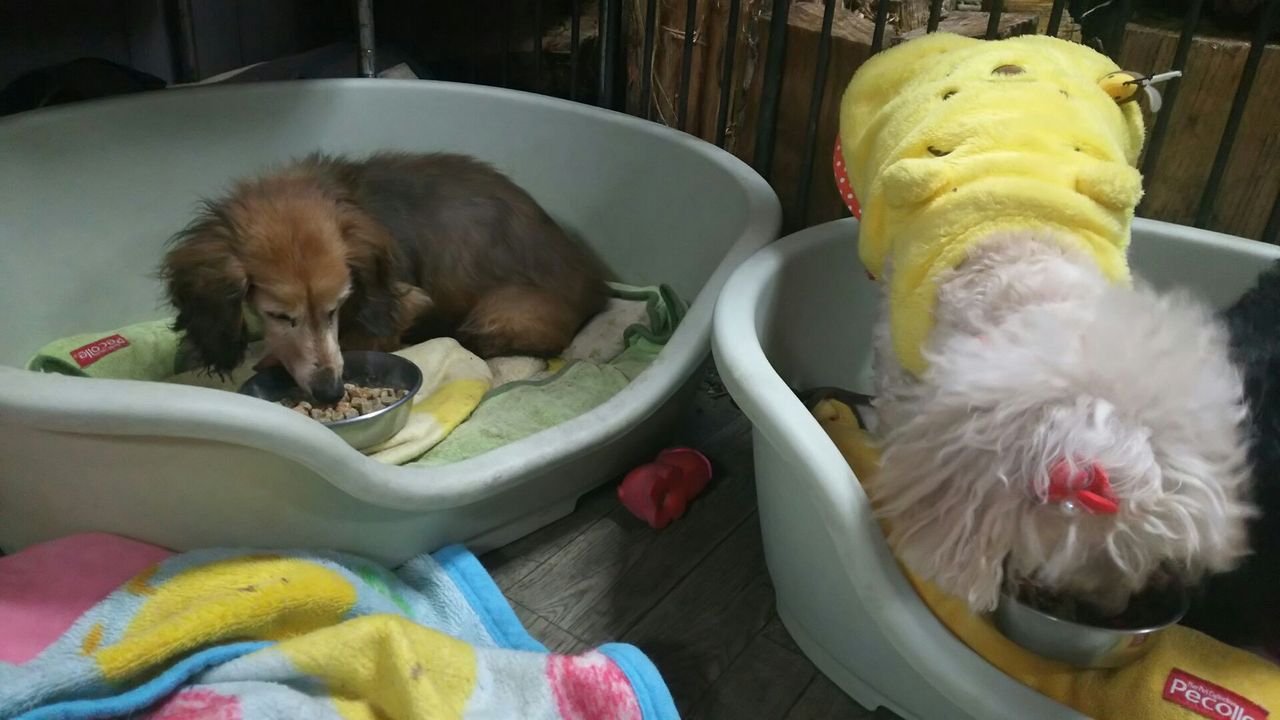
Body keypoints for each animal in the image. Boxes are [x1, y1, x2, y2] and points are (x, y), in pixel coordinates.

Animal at [161, 152, 608, 403]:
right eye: (278, 315)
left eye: (336, 307)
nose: (330, 392)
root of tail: (598, 289)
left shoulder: (401, 303)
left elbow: (359, 337)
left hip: (501, 313)